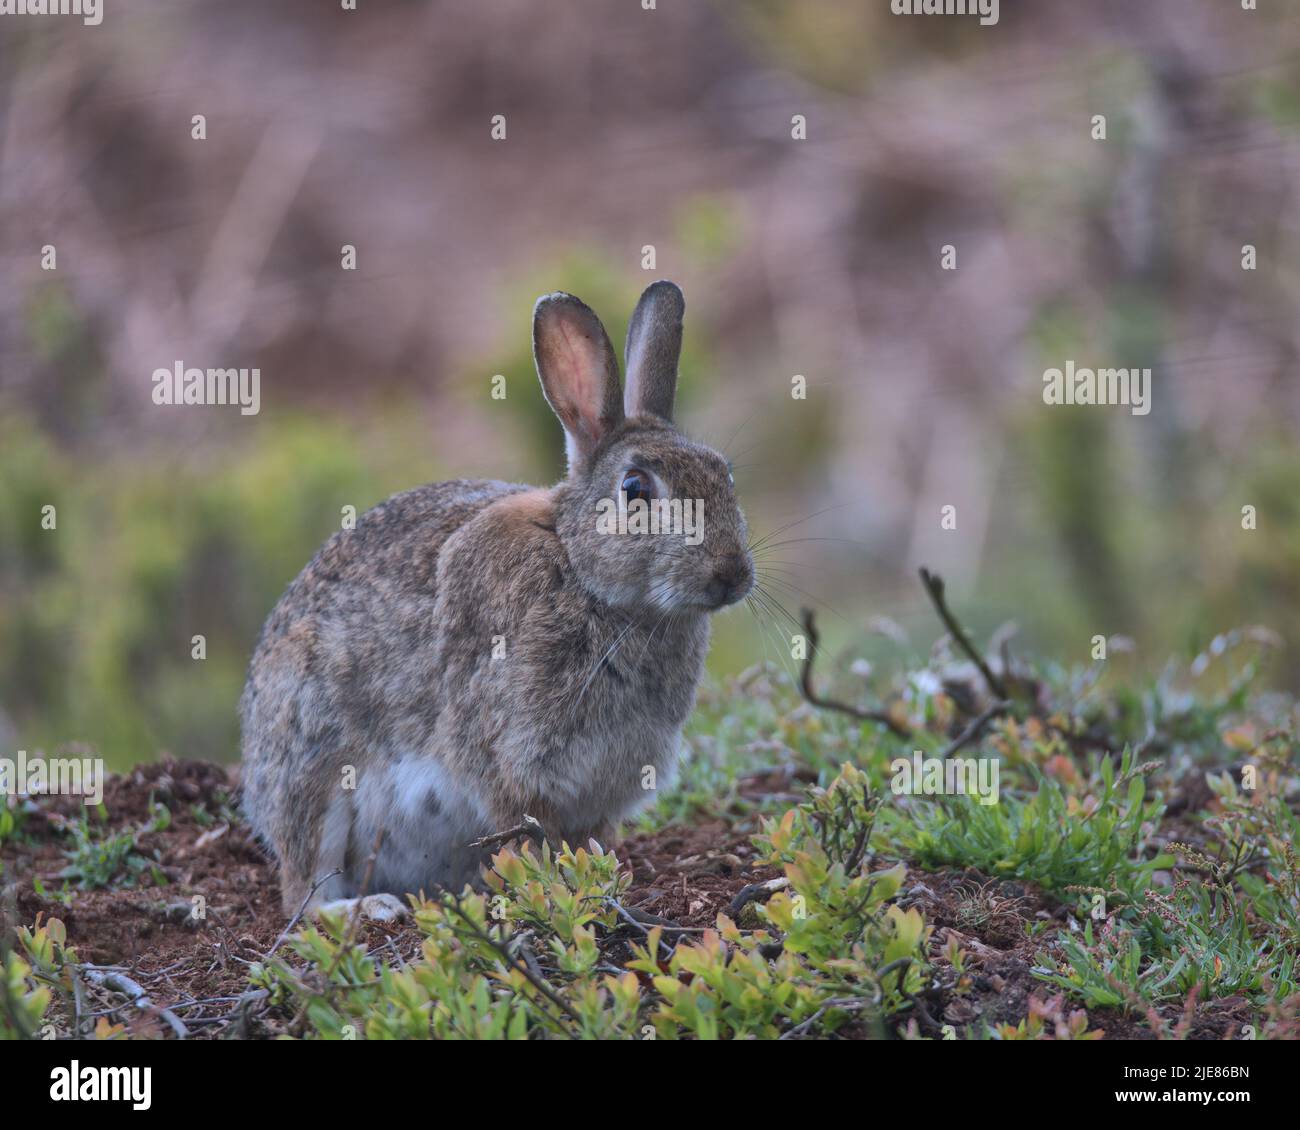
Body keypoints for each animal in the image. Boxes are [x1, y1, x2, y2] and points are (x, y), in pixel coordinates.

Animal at [239, 279, 759, 915]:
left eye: (725, 475)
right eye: (635, 489)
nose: (732, 573)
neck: (585, 577)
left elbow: (592, 840)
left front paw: (602, 873)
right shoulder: (507, 757)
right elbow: (525, 832)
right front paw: (551, 885)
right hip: (313, 768)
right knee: (303, 896)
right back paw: (371, 907)